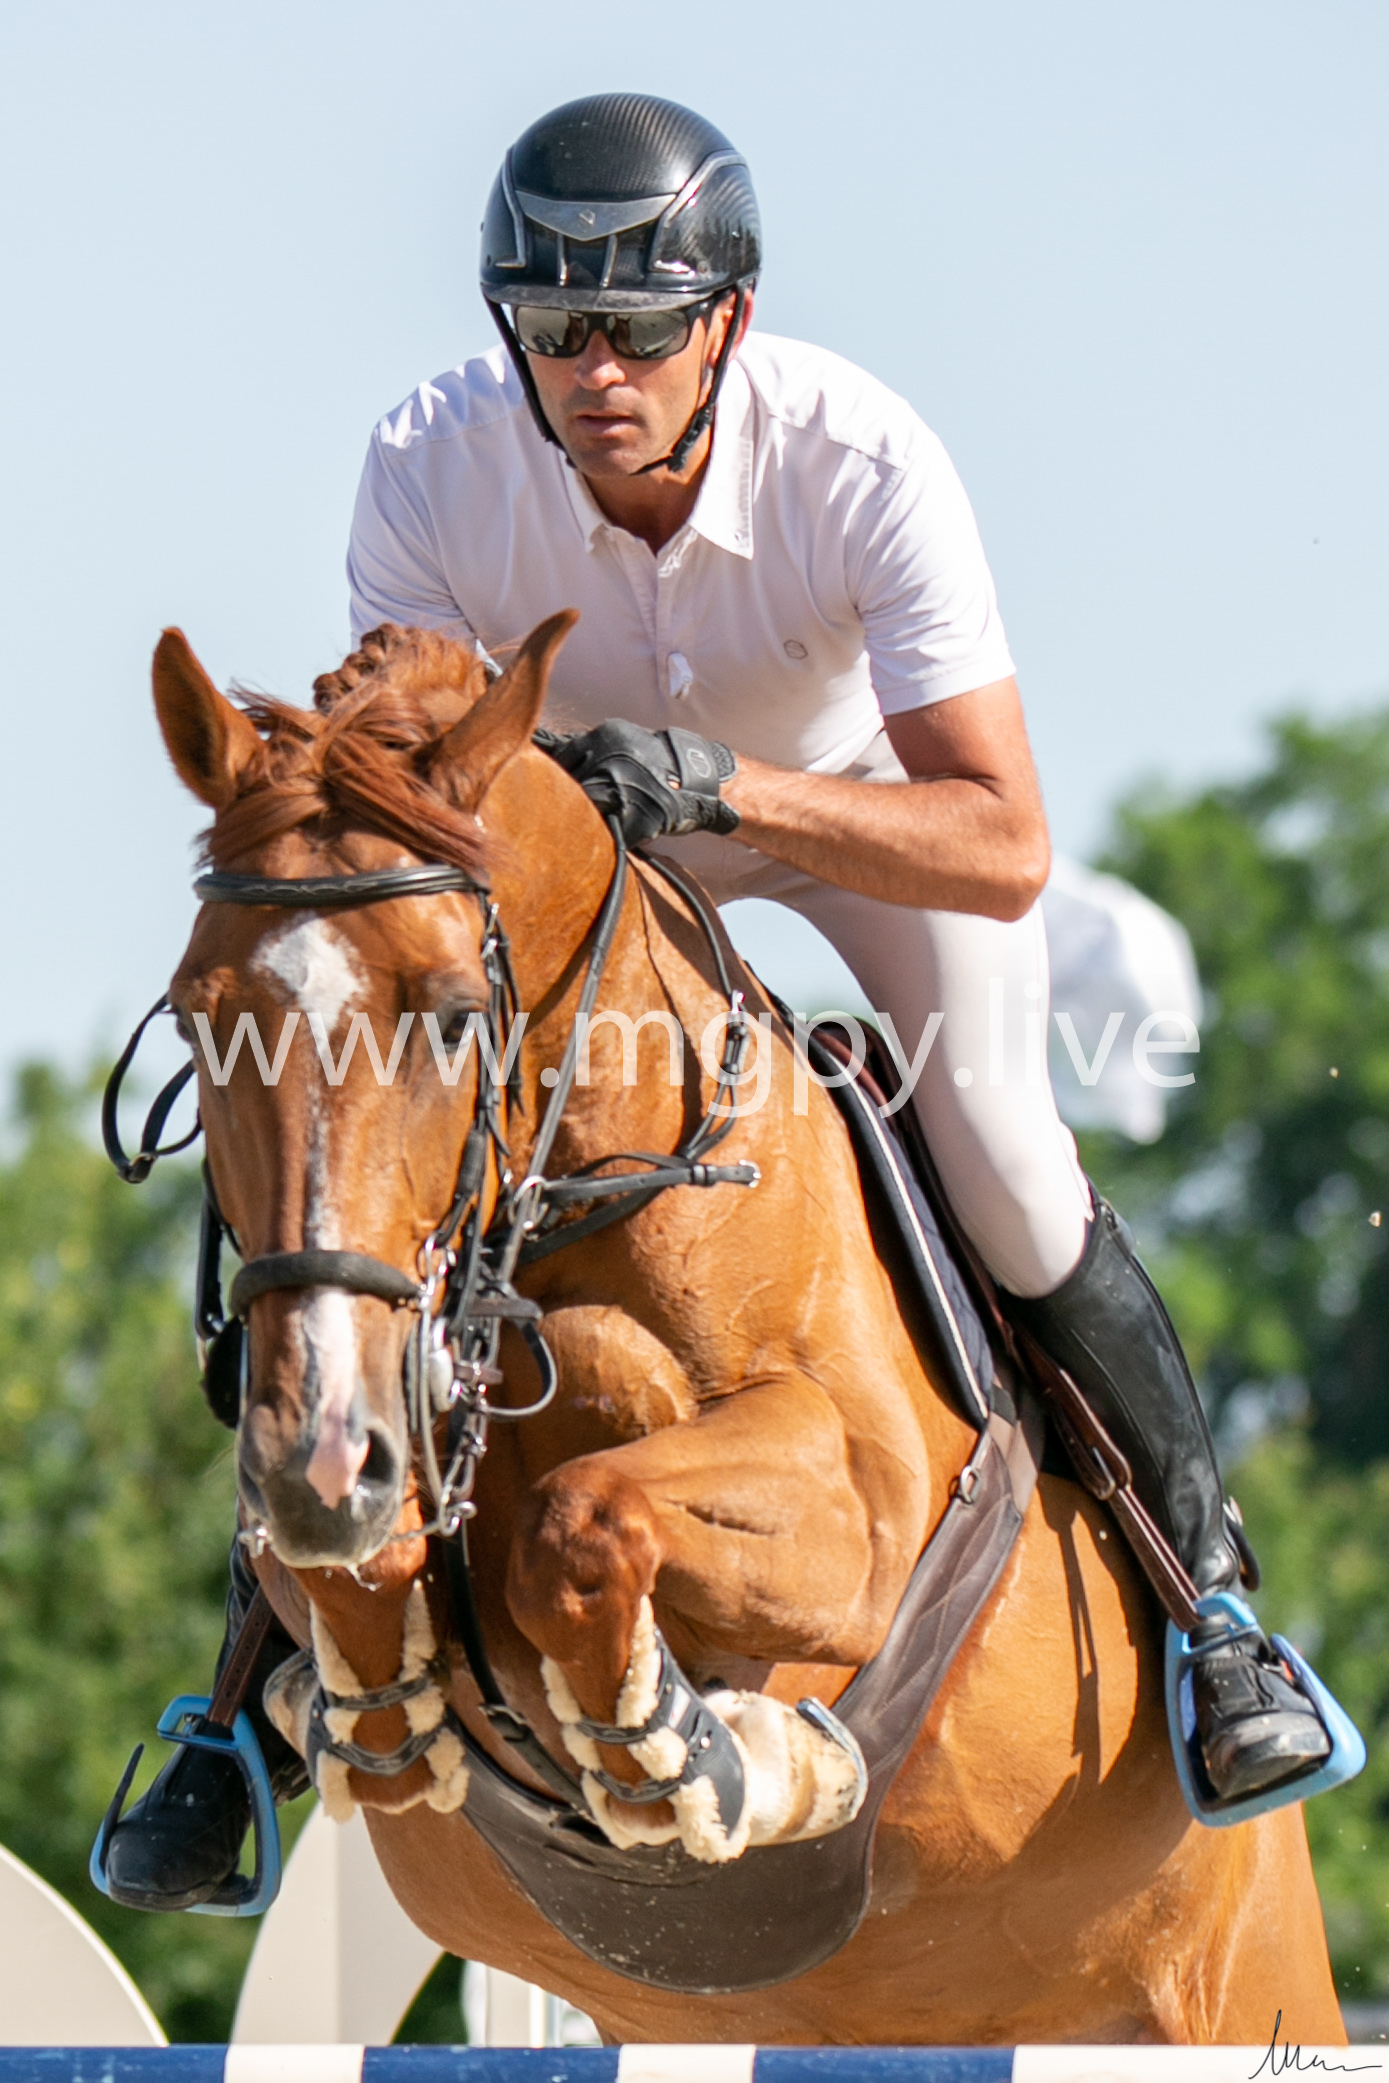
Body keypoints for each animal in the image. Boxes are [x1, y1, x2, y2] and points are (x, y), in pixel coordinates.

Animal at [148, 614, 1344, 2046]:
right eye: (200, 1012)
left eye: (450, 1011)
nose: (324, 1451)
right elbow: (369, 1559)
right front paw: (382, 1699)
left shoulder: (862, 1517)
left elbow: (587, 1511)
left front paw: (701, 1751)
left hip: (1234, 1980)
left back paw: (1242, 1694)